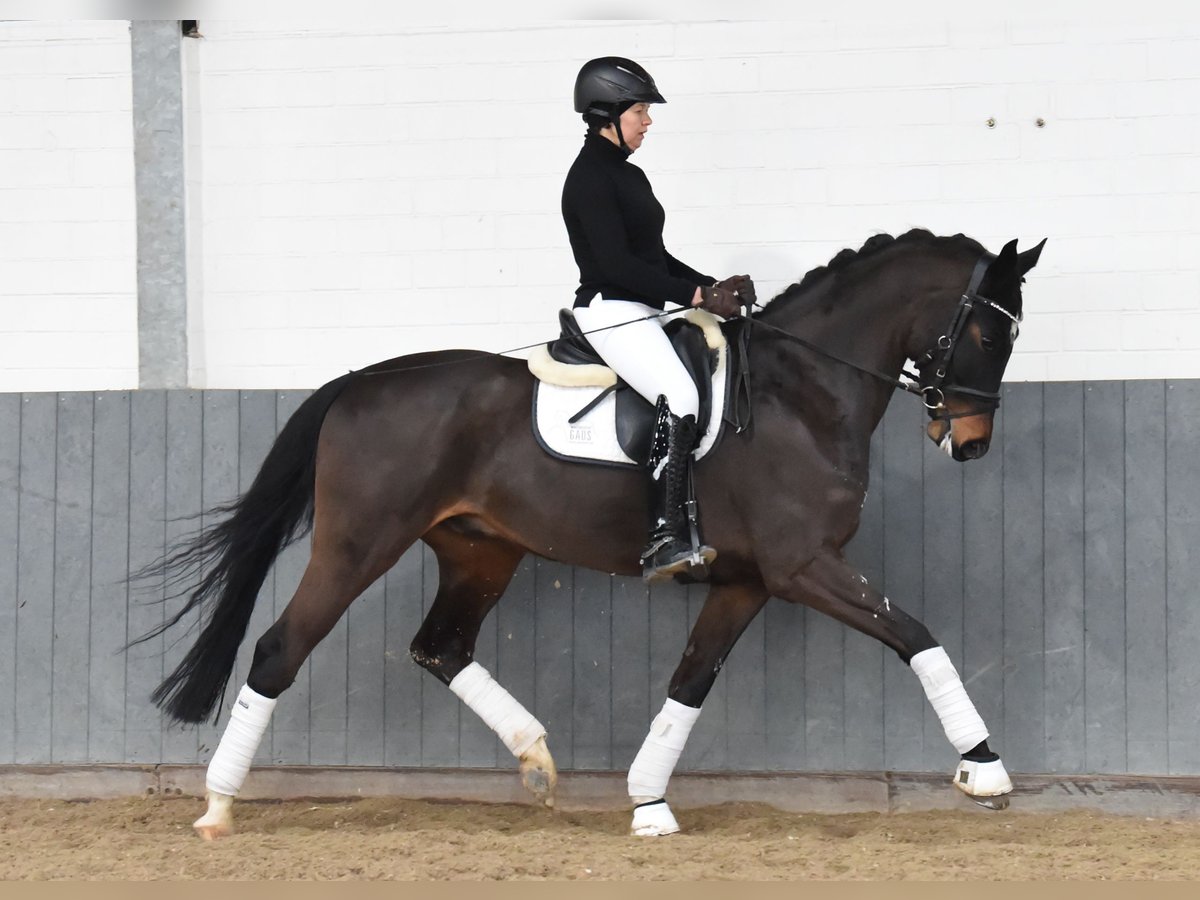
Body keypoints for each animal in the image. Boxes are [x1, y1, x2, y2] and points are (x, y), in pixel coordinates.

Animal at [136, 229, 1046, 844]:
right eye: (988, 333)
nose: (969, 443)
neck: (801, 392)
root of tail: (359, 384)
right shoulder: (805, 567)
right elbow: (917, 635)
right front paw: (986, 770)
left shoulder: (747, 580)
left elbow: (691, 680)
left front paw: (648, 801)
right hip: (358, 544)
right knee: (280, 649)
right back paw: (217, 807)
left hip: (480, 550)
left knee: (440, 646)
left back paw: (537, 761)